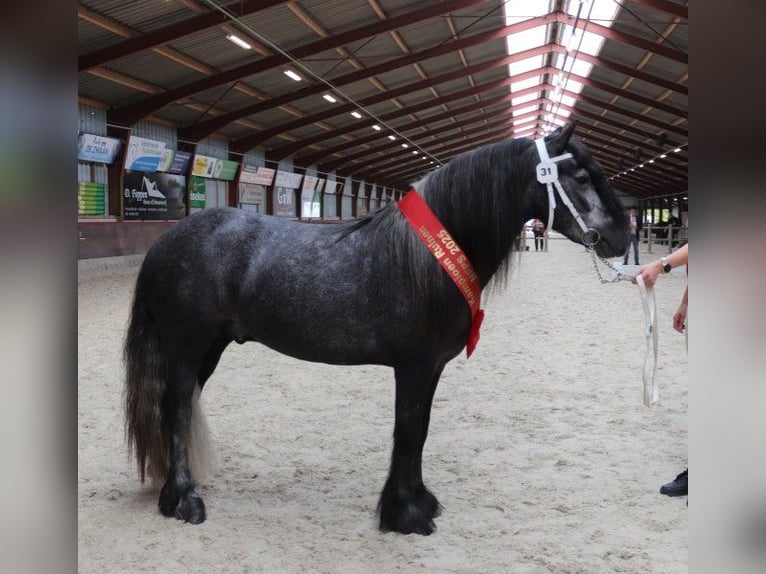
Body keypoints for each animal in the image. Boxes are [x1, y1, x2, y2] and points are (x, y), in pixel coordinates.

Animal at [124, 122, 630, 535]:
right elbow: (407, 428)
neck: (426, 258)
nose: (622, 238)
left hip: (212, 345)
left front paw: (419, 501)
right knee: (177, 406)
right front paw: (404, 514)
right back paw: (184, 501)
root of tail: (165, 242)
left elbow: (420, 429)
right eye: (580, 176)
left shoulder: (432, 368)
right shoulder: (413, 365)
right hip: (187, 344)